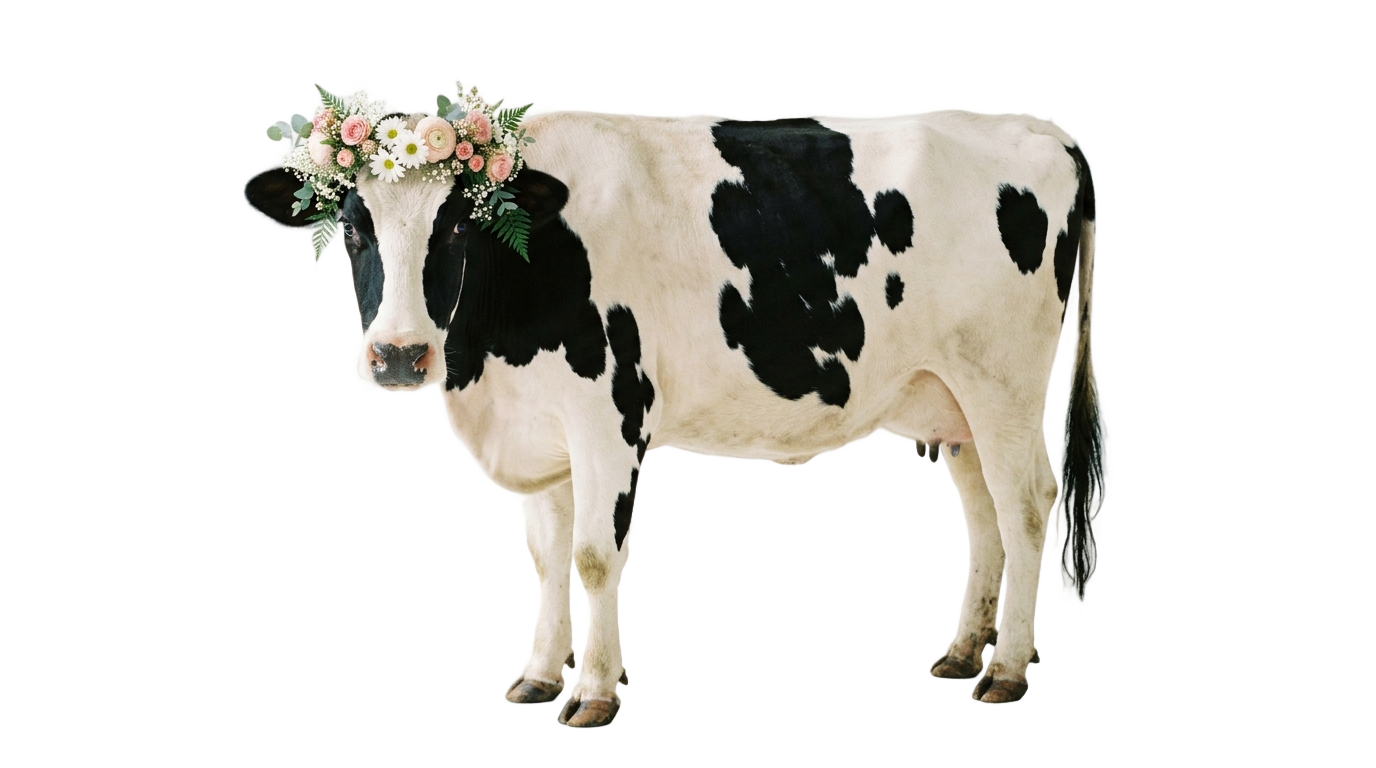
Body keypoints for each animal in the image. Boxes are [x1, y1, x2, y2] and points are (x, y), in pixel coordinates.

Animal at [242, 104, 1104, 727]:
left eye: (456, 224)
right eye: (356, 228)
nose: (398, 354)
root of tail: (1043, 135)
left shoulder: (609, 416)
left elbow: (593, 557)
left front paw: (595, 693)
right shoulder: (545, 430)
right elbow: (547, 560)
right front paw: (538, 676)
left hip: (1007, 384)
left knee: (1029, 515)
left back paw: (1007, 671)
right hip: (955, 401)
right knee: (985, 519)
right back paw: (963, 653)